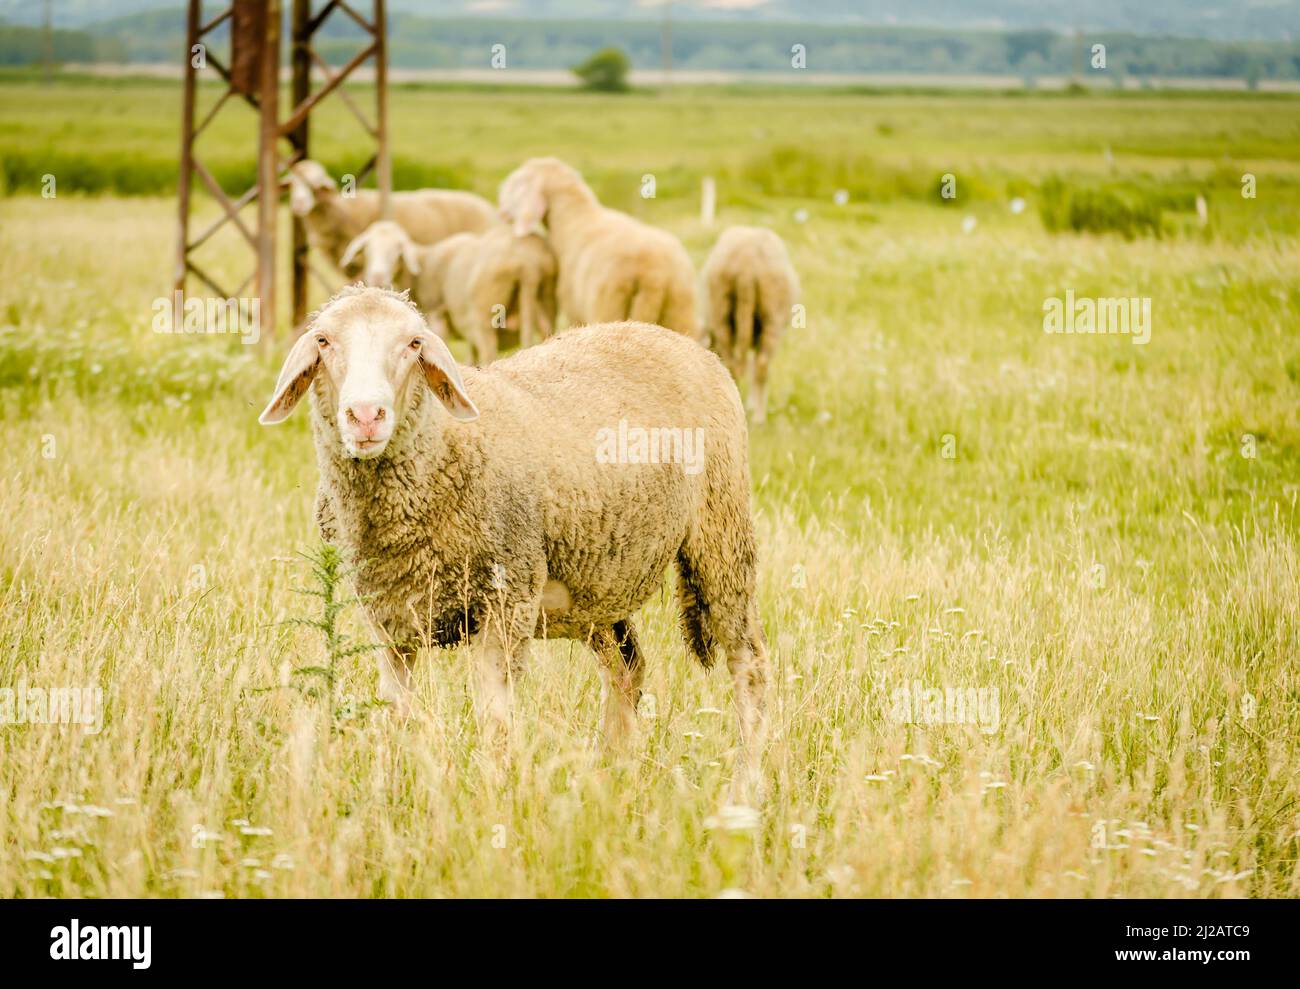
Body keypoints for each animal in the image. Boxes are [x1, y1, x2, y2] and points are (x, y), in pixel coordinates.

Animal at [258, 285, 769, 802]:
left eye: (414, 343)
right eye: (323, 341)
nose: (365, 416)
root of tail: (678, 341)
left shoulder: (509, 596)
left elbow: (495, 718)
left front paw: (495, 792)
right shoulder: (389, 618)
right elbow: (396, 711)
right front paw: (393, 791)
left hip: (721, 535)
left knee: (748, 662)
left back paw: (747, 781)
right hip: (594, 582)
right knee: (627, 669)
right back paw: (612, 774)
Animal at [340, 220, 558, 366]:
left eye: (398, 251)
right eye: (368, 250)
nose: (377, 276)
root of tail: (528, 265)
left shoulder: (437, 313)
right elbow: (472, 354)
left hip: (487, 313)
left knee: (489, 351)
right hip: (544, 301)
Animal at [497, 157, 699, 337]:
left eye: (512, 184)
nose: (501, 213)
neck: (572, 219)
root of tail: (654, 274)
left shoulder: (574, 310)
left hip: (608, 303)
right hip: (680, 306)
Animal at [700, 225, 800, 425]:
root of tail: (746, 263)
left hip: (723, 312)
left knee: (740, 363)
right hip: (771, 316)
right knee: (759, 365)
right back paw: (758, 417)